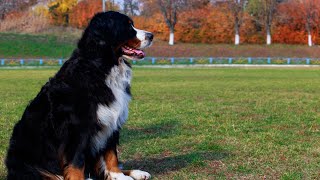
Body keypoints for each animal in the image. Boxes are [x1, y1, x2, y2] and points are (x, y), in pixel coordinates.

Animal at [5, 11, 154, 180]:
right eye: (127, 26)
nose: (151, 35)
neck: (101, 67)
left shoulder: (111, 121)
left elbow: (111, 155)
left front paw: (118, 176)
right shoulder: (77, 129)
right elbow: (76, 161)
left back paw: (137, 173)